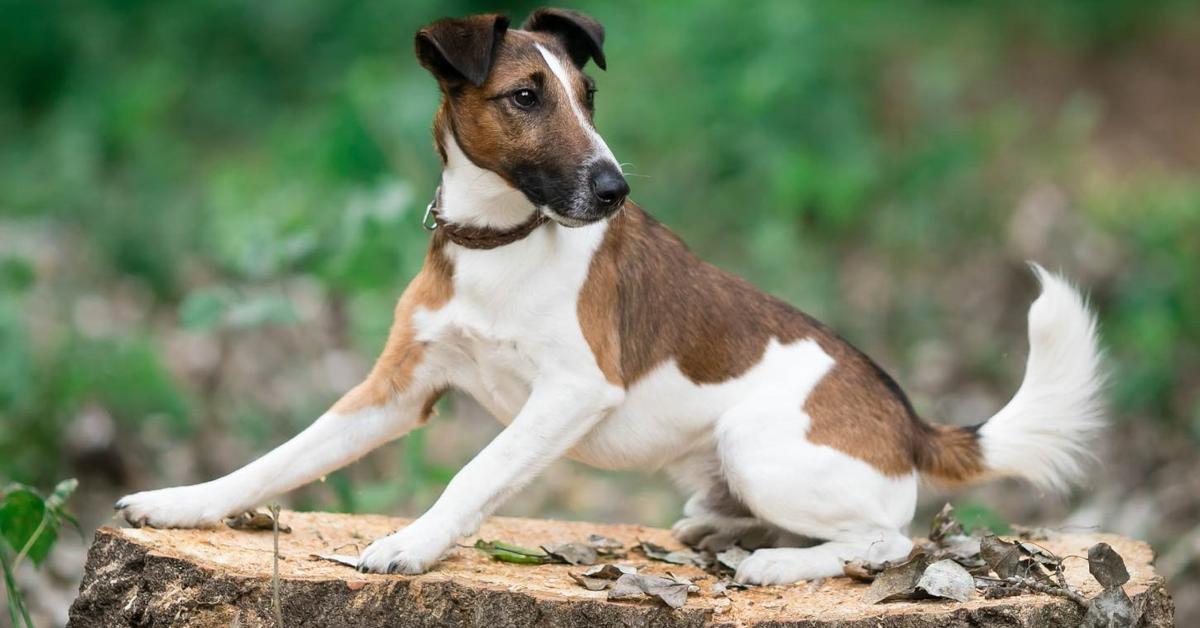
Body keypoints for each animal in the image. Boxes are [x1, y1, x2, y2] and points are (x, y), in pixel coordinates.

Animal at [117, 7, 1099, 585]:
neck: (504, 243)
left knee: (890, 539)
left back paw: (777, 566)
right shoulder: (398, 388)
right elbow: (280, 459)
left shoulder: (573, 392)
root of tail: (912, 425)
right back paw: (726, 536)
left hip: (758, 446)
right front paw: (182, 504)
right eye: (525, 96)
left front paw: (410, 545)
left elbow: (474, 475)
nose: (615, 187)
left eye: (588, 94)